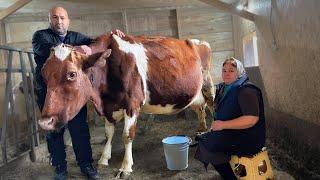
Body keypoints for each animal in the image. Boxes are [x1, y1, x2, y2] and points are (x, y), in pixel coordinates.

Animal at [38, 33, 215, 178]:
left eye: (72, 74)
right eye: (43, 73)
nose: (44, 122)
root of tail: (198, 41)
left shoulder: (132, 105)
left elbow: (127, 135)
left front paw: (125, 167)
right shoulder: (109, 108)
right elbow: (108, 133)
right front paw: (104, 158)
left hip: (207, 85)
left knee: (212, 106)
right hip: (194, 93)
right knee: (200, 108)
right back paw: (201, 129)